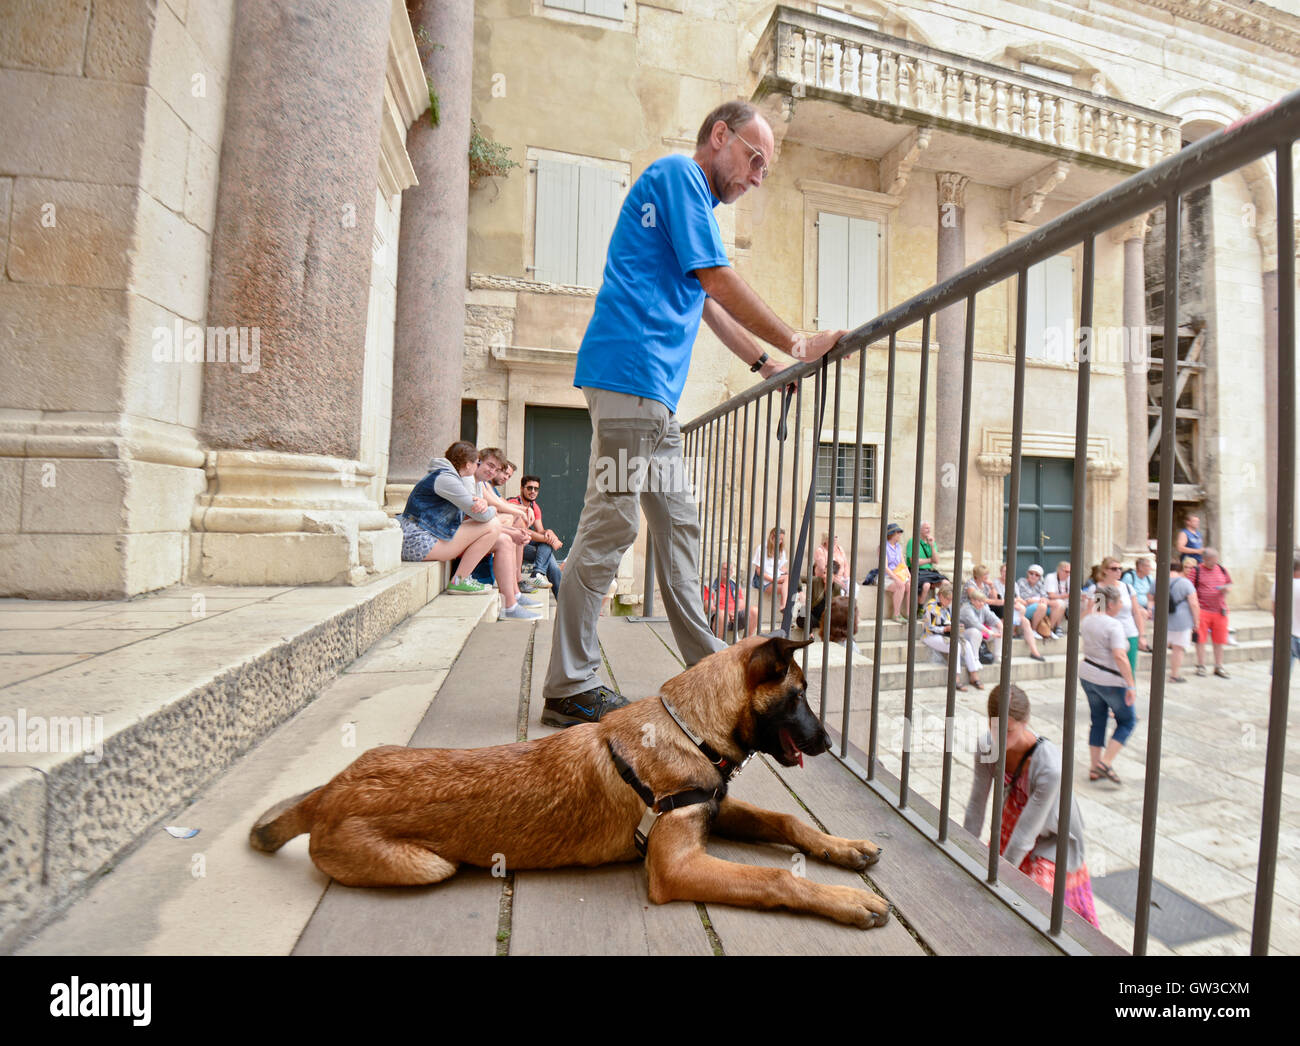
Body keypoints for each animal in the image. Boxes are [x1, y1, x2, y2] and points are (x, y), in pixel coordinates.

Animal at [248, 631, 889, 925]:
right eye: (800, 695)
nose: (828, 743)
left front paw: (843, 848)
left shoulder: (714, 806)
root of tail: (331, 792)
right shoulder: (676, 866)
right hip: (429, 864)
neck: (688, 727)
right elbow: (774, 878)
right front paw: (845, 899)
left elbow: (786, 819)